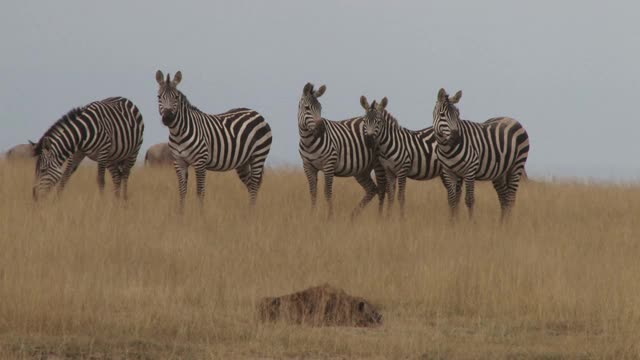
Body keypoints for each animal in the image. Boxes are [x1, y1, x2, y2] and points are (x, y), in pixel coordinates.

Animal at [159, 70, 274, 210]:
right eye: (159, 97)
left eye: (176, 97)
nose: (167, 118)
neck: (178, 133)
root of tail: (257, 113)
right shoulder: (178, 162)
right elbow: (182, 191)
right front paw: (181, 213)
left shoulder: (200, 162)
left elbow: (200, 191)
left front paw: (200, 213)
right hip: (243, 162)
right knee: (251, 185)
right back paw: (249, 211)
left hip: (258, 156)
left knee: (254, 185)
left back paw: (252, 212)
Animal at [296, 82, 382, 217]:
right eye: (307, 108)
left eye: (320, 108)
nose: (321, 129)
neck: (308, 141)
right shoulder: (308, 166)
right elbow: (313, 192)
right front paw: (312, 215)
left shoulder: (329, 164)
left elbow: (327, 192)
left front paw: (330, 217)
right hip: (362, 169)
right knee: (372, 189)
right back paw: (353, 215)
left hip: (379, 163)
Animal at [430, 88, 528, 221]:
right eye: (442, 115)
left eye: (458, 115)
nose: (456, 138)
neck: (447, 148)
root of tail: (512, 119)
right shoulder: (448, 171)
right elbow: (452, 200)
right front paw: (453, 223)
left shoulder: (470, 170)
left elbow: (469, 200)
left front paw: (471, 223)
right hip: (500, 172)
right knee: (503, 199)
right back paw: (501, 224)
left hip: (517, 165)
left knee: (510, 199)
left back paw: (508, 224)